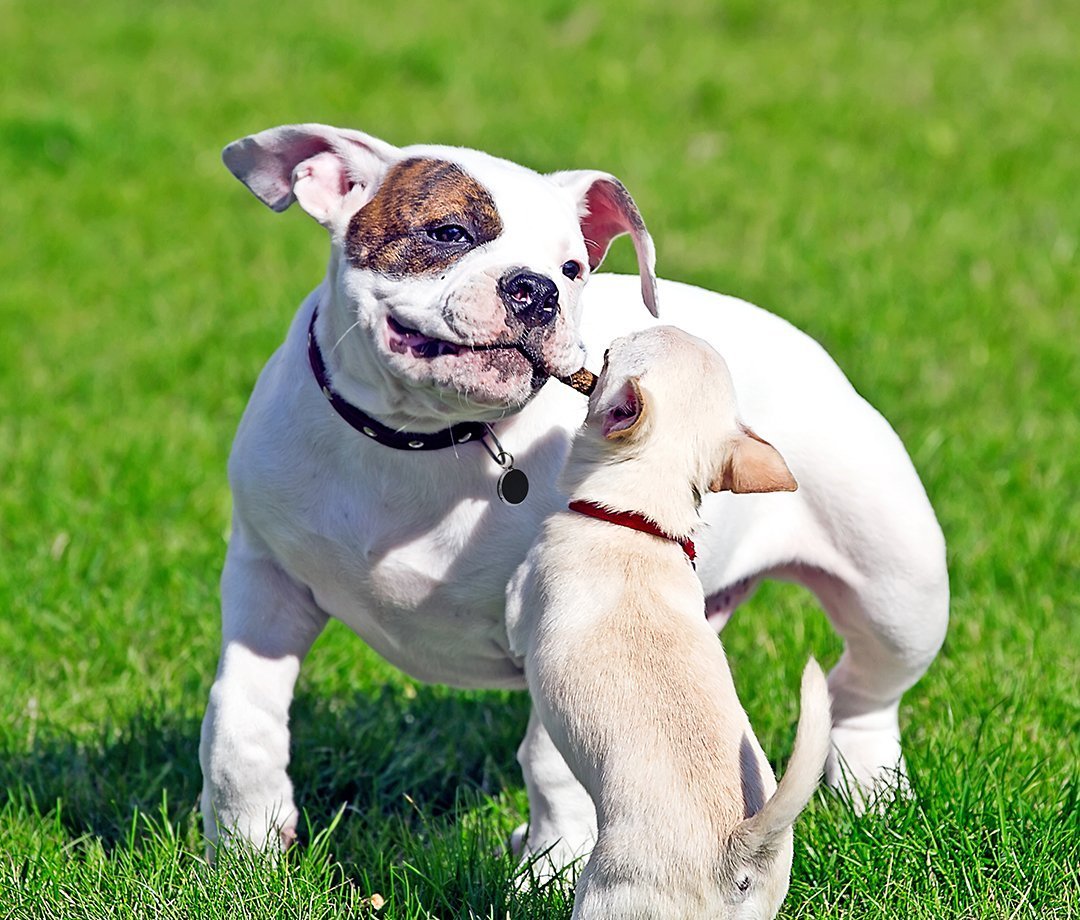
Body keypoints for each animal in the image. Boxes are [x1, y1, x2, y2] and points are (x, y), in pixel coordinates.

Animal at [507, 326, 833, 915]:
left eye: (613, 352)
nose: (609, 336)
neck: (639, 521)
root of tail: (736, 850)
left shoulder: (523, 599)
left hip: (605, 894)